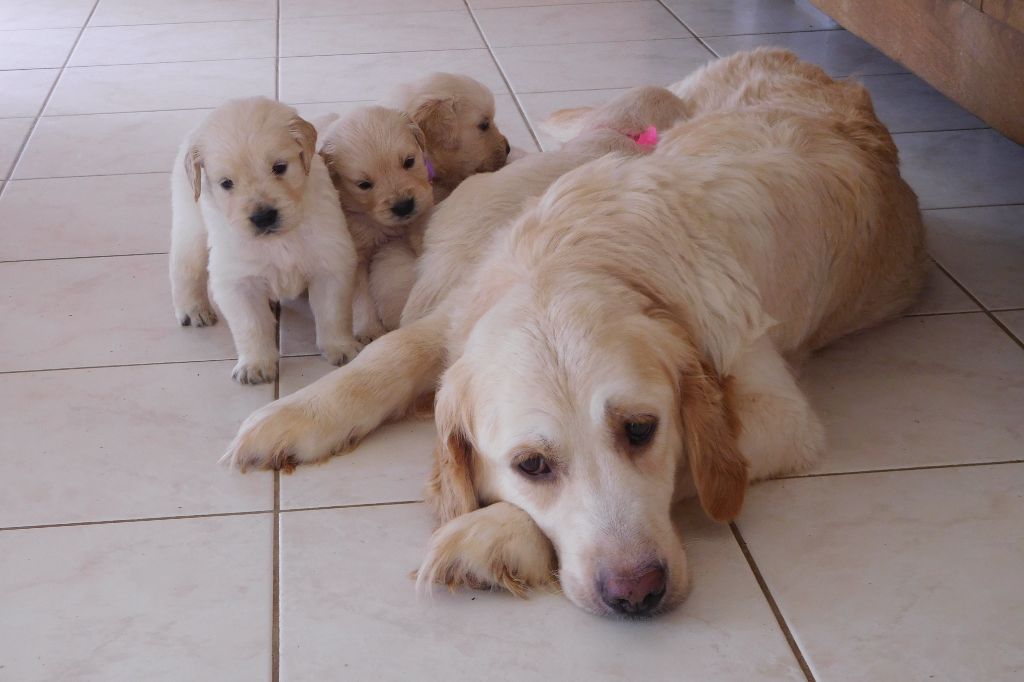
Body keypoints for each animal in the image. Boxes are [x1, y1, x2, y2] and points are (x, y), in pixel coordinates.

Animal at [174, 95, 366, 382]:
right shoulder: (236, 281)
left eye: (279, 168)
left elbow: (333, 312)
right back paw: (193, 309)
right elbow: (250, 325)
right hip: (191, 226)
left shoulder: (331, 262)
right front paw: (255, 364)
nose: (263, 217)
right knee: (184, 269)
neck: (278, 240)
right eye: (226, 183)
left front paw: (340, 348)